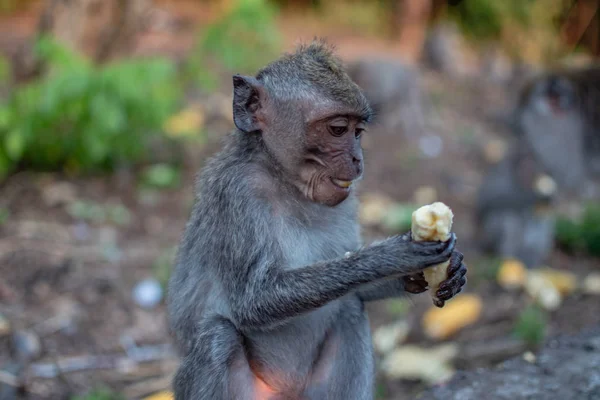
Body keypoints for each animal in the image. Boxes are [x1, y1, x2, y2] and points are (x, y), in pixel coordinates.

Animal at [165, 41, 468, 400]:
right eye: (337, 130)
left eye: (358, 132)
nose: (357, 159)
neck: (286, 182)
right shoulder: (237, 193)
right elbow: (252, 302)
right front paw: (390, 257)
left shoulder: (347, 198)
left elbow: (358, 292)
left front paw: (443, 271)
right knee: (218, 336)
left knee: (350, 306)